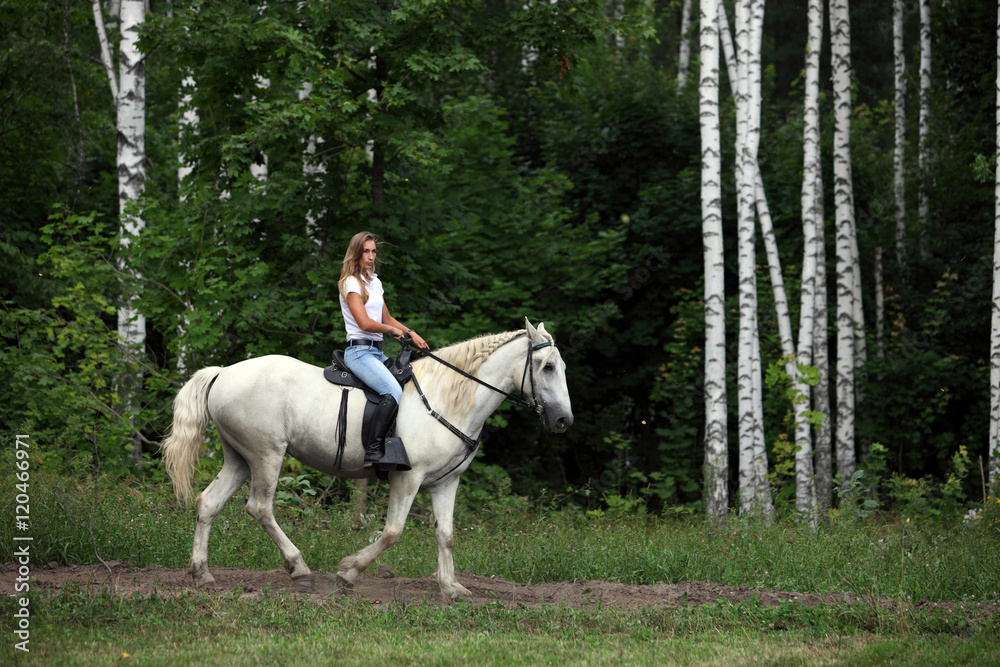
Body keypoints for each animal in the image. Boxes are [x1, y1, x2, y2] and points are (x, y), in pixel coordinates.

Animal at [160, 318, 576, 600]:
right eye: (547, 367)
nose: (563, 421)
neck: (450, 397)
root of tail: (223, 373)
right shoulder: (408, 478)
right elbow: (392, 532)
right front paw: (348, 572)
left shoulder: (445, 482)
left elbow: (445, 534)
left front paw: (451, 587)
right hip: (266, 455)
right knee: (260, 507)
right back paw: (299, 568)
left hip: (240, 459)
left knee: (208, 503)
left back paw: (202, 574)